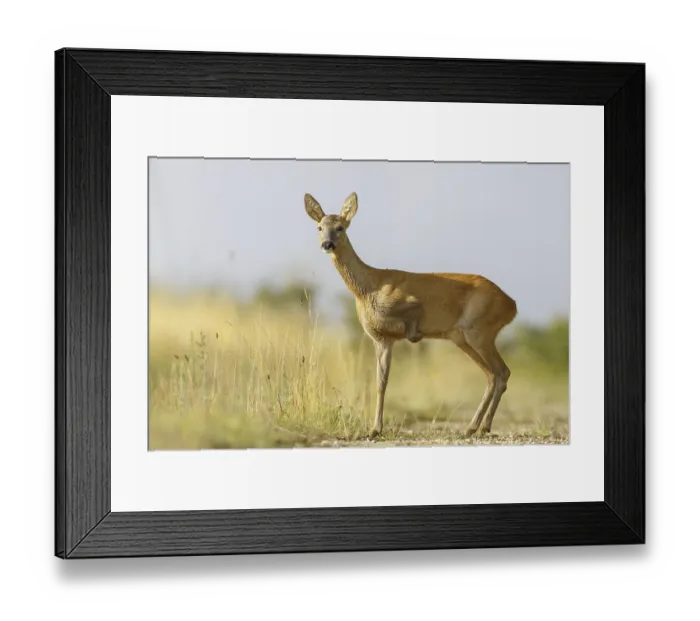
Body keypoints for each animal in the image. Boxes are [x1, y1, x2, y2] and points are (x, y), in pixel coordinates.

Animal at [304, 192, 518, 440]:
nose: (327, 244)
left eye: (340, 227)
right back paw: (475, 427)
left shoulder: (403, 316)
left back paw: (479, 427)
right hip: (463, 338)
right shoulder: (382, 339)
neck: (368, 288)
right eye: (319, 227)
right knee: (493, 375)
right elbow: (381, 382)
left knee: (501, 372)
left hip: (479, 332)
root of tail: (512, 305)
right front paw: (375, 429)